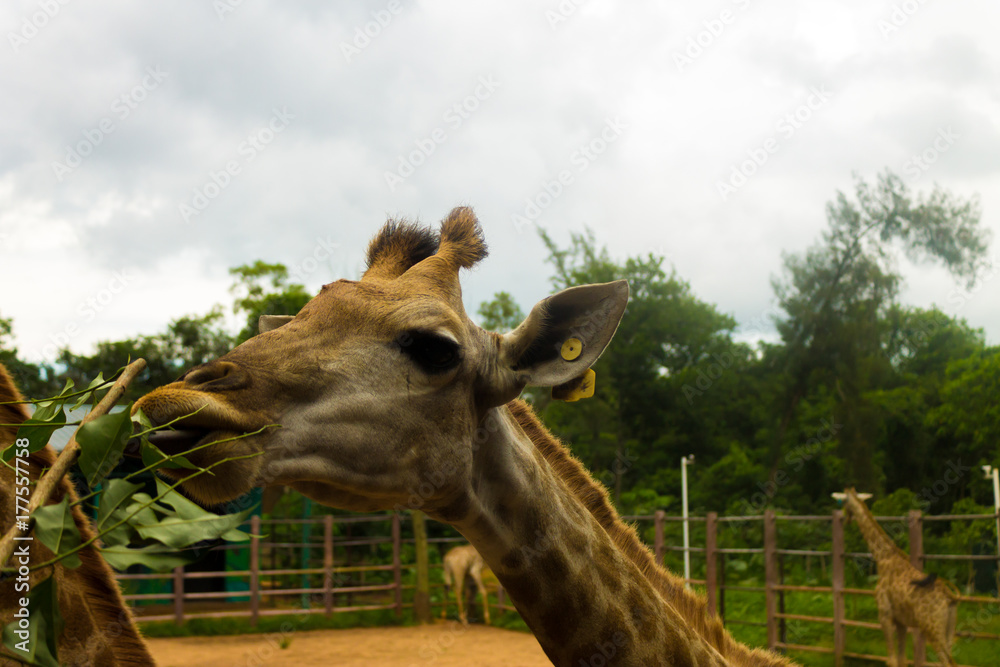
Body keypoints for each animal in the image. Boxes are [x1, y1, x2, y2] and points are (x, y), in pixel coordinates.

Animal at [837, 488, 959, 667]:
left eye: (844, 502)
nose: (846, 519)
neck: (882, 557)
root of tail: (950, 597)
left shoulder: (885, 615)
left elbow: (892, 660)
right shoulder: (901, 622)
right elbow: (902, 659)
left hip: (932, 628)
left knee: (945, 662)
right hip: (949, 629)